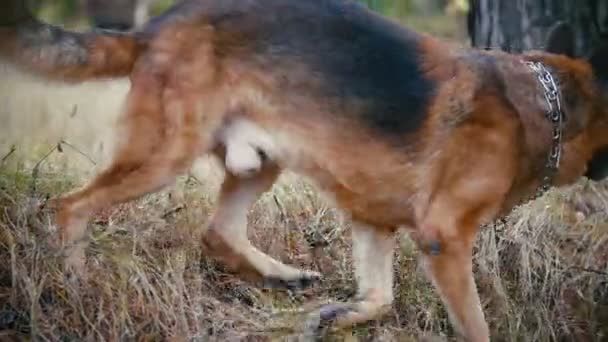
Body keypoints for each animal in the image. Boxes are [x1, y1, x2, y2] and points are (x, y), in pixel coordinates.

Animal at [1, 0, 608, 340]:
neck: (547, 103)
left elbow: (380, 296)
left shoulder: (373, 221)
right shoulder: (444, 239)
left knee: (218, 232)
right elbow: (476, 326)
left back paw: (281, 275)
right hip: (161, 158)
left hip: (258, 164)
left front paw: (337, 317)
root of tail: (153, 28)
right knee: (69, 208)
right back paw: (76, 280)